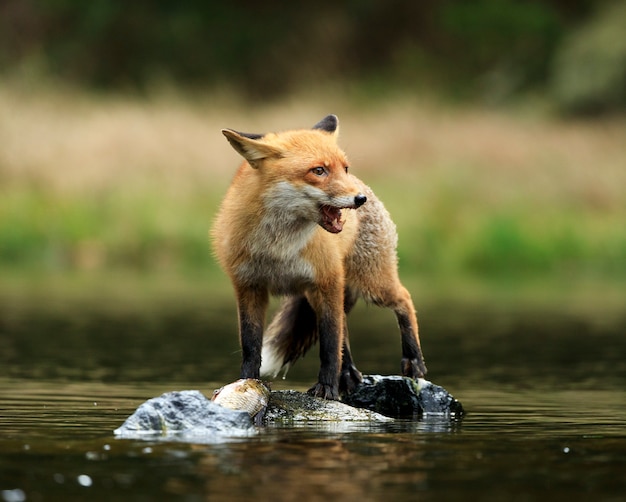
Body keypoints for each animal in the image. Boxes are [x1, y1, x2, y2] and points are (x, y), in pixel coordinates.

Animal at [213, 114, 424, 400]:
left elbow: (329, 345)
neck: (278, 248)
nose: (360, 198)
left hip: (371, 285)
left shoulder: (327, 280)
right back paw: (348, 374)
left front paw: (327, 388)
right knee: (344, 327)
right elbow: (250, 344)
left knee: (403, 299)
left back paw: (412, 360)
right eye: (319, 171)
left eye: (344, 168)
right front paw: (246, 383)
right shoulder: (249, 287)